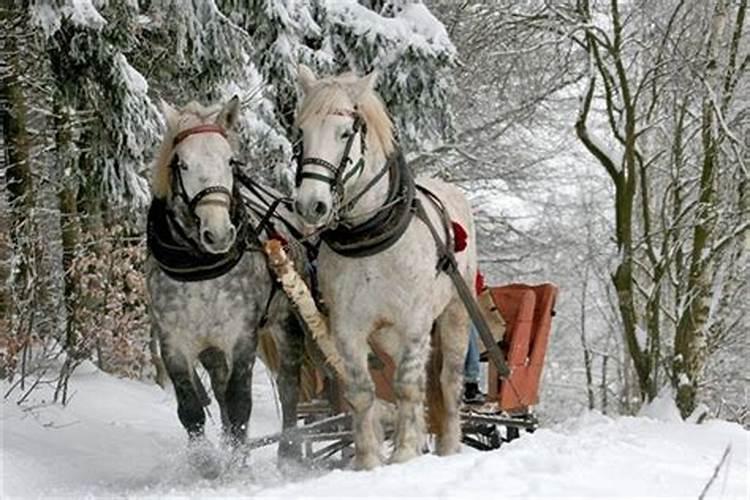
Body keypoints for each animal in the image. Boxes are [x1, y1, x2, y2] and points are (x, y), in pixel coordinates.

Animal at [147, 96, 306, 476]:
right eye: (183, 164)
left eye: (230, 161)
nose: (218, 233)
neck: (199, 268)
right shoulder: (174, 341)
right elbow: (191, 407)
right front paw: (206, 463)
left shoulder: (241, 336)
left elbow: (240, 403)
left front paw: (238, 465)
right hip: (211, 346)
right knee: (218, 390)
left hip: (286, 323)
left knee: (288, 384)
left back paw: (289, 452)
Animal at [292, 64, 476, 466]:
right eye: (301, 133)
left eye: (345, 133)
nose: (311, 205)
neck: (370, 236)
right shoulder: (348, 327)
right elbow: (362, 391)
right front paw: (368, 461)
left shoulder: (414, 322)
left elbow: (406, 386)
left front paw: (404, 453)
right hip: (387, 336)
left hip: (454, 313)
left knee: (448, 382)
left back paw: (449, 446)